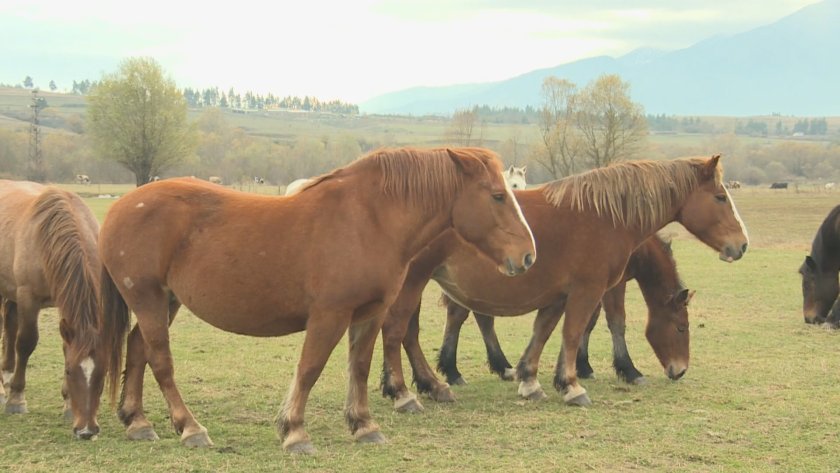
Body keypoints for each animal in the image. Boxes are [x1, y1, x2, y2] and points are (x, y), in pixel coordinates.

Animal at [0, 180, 121, 438]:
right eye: (68, 371)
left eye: (103, 372)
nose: (86, 430)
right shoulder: (28, 298)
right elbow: (25, 343)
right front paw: (17, 398)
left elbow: (66, 347)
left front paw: (67, 404)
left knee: (10, 328)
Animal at [97, 148, 532, 454]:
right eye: (498, 195)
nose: (528, 255)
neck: (369, 219)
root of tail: (120, 207)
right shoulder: (329, 316)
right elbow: (309, 368)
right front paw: (294, 431)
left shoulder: (369, 314)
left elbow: (358, 367)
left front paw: (363, 425)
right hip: (149, 299)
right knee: (160, 361)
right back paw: (190, 427)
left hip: (165, 302)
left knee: (137, 349)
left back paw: (137, 421)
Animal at [430, 233, 692, 390]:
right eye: (681, 328)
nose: (680, 371)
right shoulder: (611, 286)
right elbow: (616, 322)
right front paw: (628, 369)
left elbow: (589, 322)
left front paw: (582, 366)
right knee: (459, 316)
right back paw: (453, 371)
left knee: (481, 318)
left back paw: (501, 367)